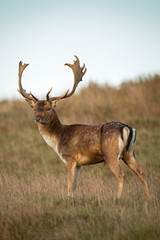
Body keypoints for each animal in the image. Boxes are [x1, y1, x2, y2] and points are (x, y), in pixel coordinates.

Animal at [17, 55, 150, 199]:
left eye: (49, 108)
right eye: (35, 108)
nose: (37, 118)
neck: (58, 138)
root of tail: (127, 128)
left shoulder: (70, 158)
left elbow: (70, 183)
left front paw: (68, 198)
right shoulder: (79, 164)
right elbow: (75, 184)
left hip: (111, 153)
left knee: (121, 175)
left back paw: (118, 198)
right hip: (129, 153)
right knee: (141, 172)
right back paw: (148, 198)